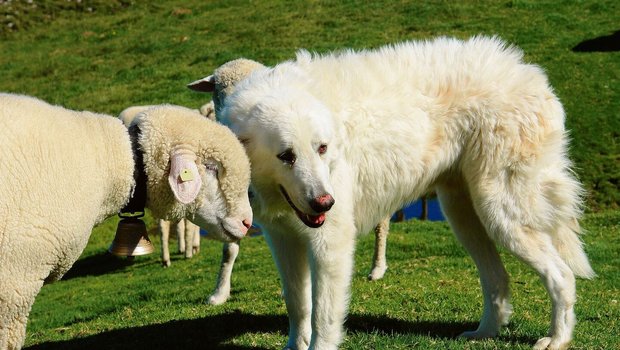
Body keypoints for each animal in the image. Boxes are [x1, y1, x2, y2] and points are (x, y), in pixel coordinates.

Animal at [220, 37, 592, 348]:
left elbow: (323, 319)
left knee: (562, 275)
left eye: (322, 148)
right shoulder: (283, 240)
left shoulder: (331, 243)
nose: (325, 202)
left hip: (502, 213)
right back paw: (484, 333)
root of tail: (532, 76)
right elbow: (298, 308)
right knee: (497, 279)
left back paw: (557, 339)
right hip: (465, 216)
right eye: (287, 156)